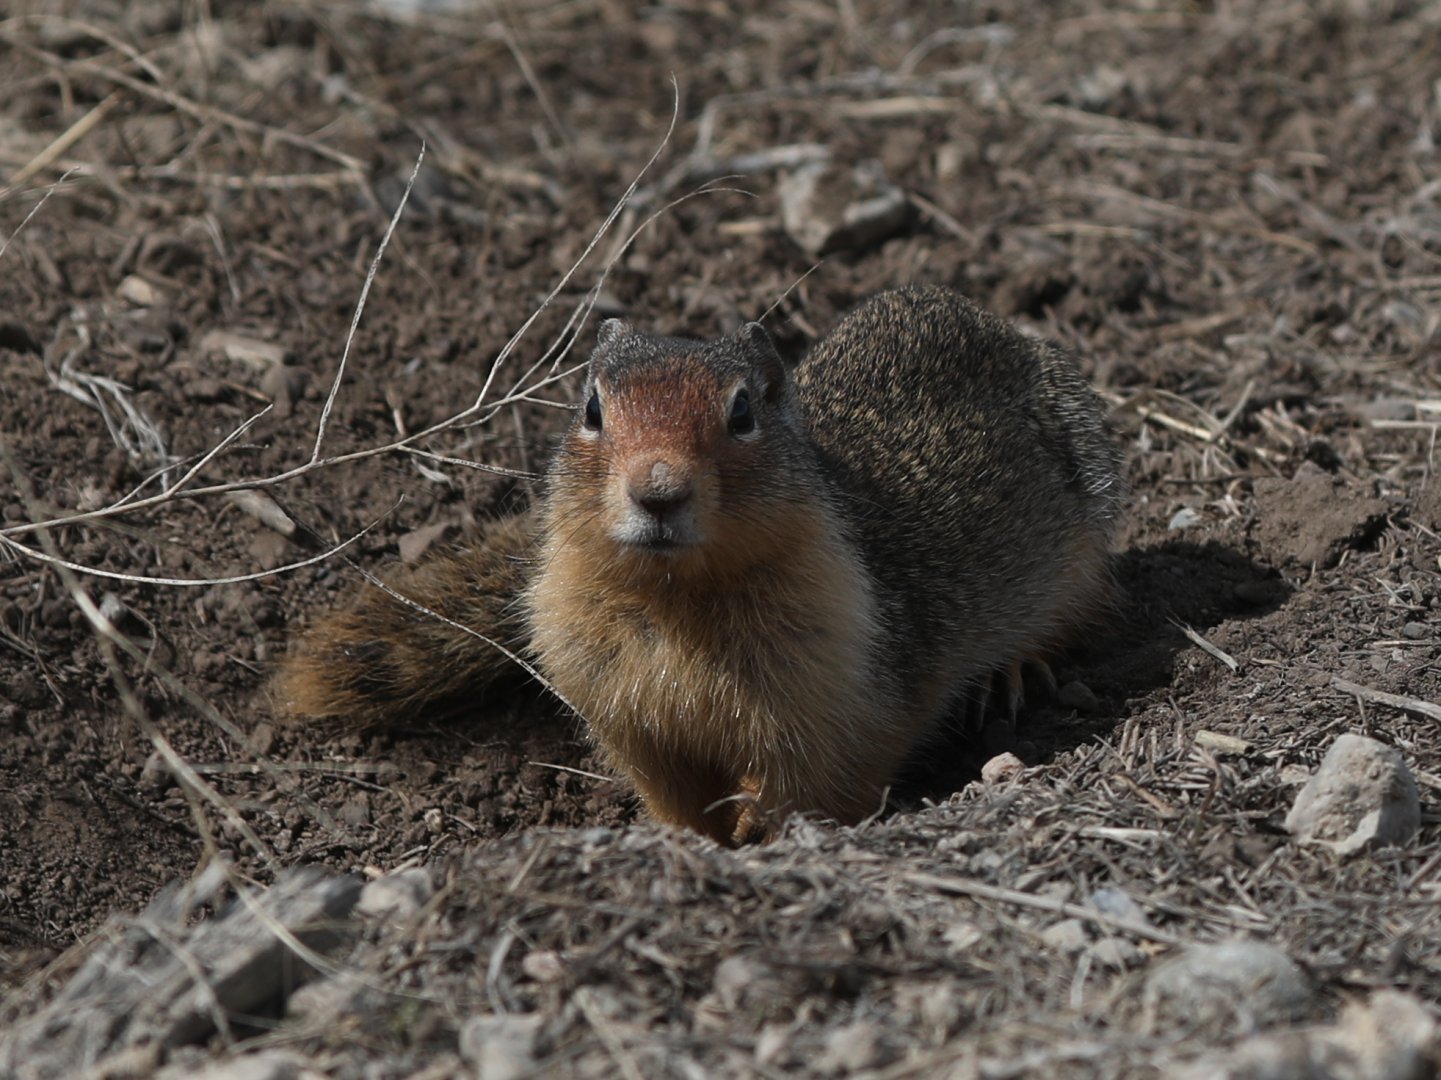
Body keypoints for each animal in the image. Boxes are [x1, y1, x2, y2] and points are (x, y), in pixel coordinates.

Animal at [274, 285, 1123, 846]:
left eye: (742, 411)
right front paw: (685, 840)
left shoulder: (831, 698)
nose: (657, 491)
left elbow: (804, 785)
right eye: (591, 408)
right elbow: (672, 792)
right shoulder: (620, 710)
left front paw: (749, 827)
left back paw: (1009, 671)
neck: (676, 600)